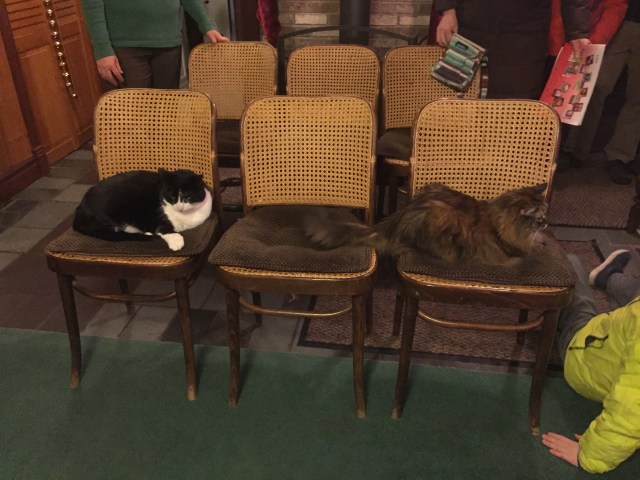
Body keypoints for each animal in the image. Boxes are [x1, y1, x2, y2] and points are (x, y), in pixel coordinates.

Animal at [73, 168, 212, 251]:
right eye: (172, 197)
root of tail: (80, 206)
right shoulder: (157, 218)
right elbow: (164, 229)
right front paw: (176, 241)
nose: (180, 207)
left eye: (188, 197)